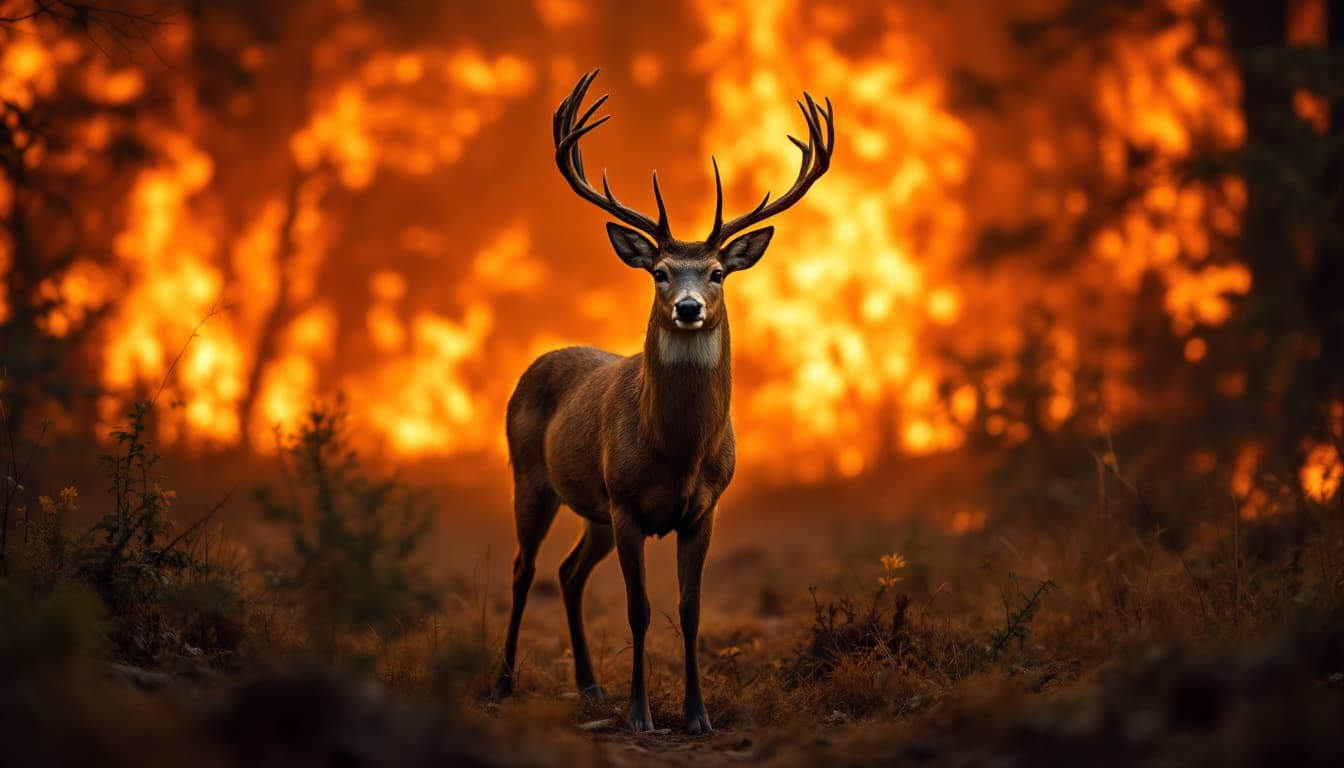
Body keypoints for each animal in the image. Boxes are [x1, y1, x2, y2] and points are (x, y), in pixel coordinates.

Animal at [491, 69, 834, 734]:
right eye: (660, 273)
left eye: (718, 273)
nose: (689, 307)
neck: (676, 450)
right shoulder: (627, 503)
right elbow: (639, 608)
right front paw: (639, 715)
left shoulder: (702, 509)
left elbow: (691, 608)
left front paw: (697, 716)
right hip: (532, 478)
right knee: (523, 571)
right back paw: (503, 683)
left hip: (592, 510)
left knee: (569, 572)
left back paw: (590, 684)